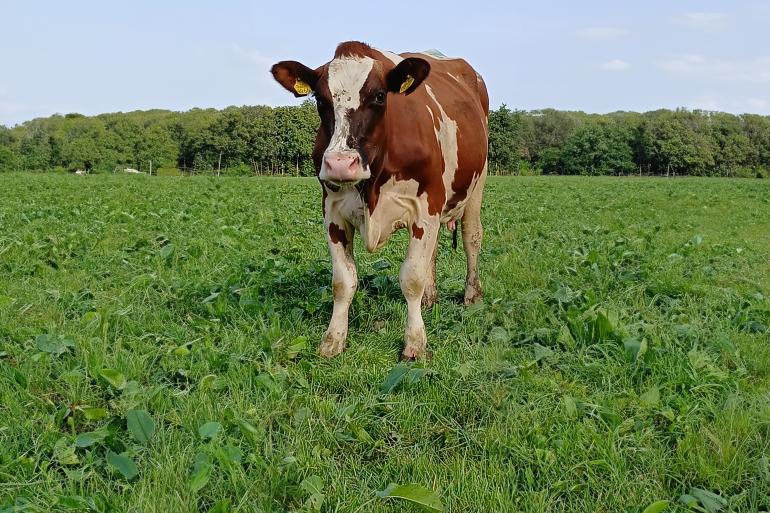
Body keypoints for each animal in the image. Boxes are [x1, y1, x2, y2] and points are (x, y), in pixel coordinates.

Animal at [270, 42, 486, 358]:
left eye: (380, 96)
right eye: (320, 99)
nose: (340, 163)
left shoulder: (426, 207)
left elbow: (411, 277)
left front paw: (415, 343)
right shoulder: (332, 212)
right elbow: (343, 281)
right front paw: (333, 340)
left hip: (477, 185)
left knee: (472, 238)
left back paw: (471, 295)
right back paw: (429, 298)